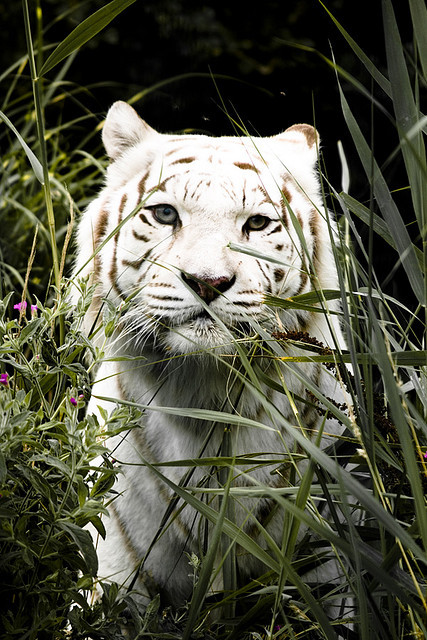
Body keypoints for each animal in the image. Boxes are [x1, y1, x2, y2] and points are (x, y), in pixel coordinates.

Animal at [73, 102, 352, 624]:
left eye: (258, 224)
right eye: (165, 214)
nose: (207, 281)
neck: (204, 399)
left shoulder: (331, 570)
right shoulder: (118, 575)